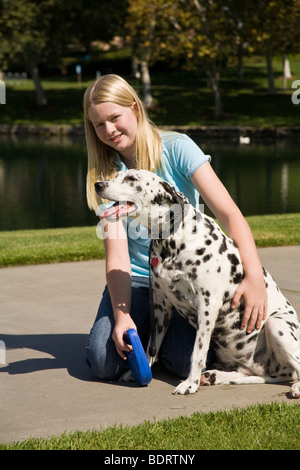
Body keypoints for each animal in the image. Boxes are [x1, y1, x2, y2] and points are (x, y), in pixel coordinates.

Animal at [95, 169, 300, 396]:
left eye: (132, 179)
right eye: (116, 175)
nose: (98, 185)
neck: (173, 238)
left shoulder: (207, 306)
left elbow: (197, 352)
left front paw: (189, 384)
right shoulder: (159, 305)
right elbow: (151, 346)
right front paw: (139, 371)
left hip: (276, 325)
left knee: (295, 370)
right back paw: (216, 376)